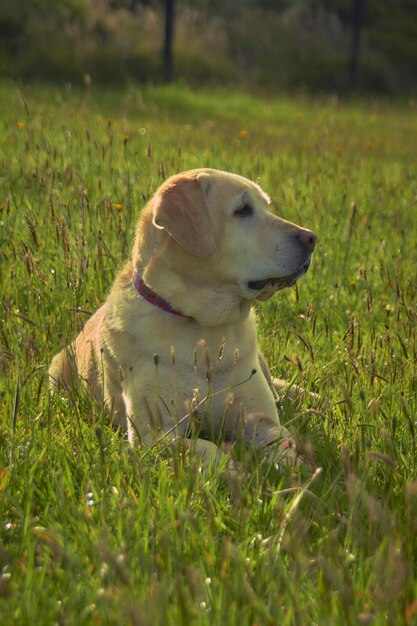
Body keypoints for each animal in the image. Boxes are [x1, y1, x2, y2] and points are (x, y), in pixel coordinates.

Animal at [48, 168, 316, 470]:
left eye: (266, 207)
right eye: (243, 210)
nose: (311, 238)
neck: (204, 329)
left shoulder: (262, 421)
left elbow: (284, 444)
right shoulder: (153, 435)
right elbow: (206, 448)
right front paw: (234, 470)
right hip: (55, 374)